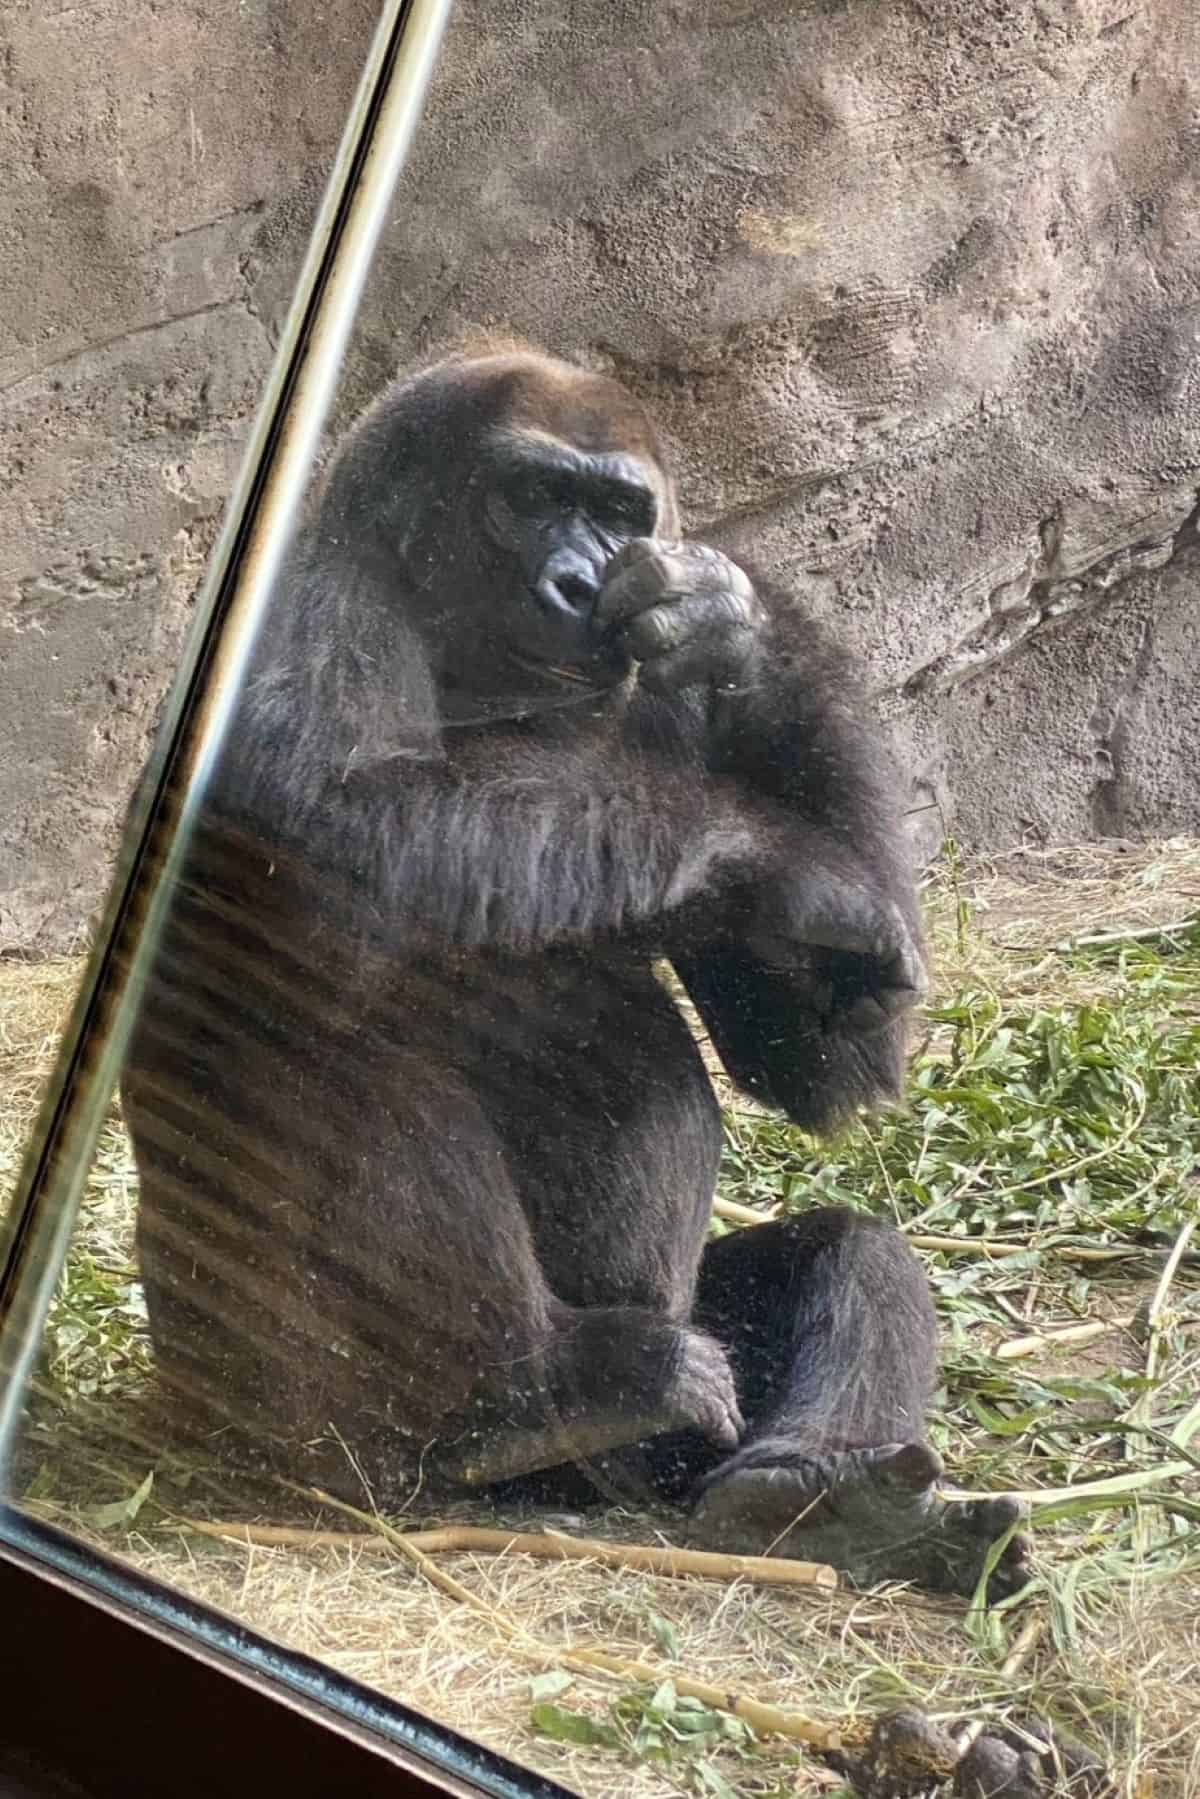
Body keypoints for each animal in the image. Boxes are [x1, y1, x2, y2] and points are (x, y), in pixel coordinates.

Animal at [121, 343, 1030, 1598]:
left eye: (619, 513)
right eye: (534, 495)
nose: (577, 580)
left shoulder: (666, 701)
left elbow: (818, 1057)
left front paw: (738, 623)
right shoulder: (304, 595)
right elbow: (331, 863)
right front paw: (786, 866)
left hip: (658, 1454)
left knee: (853, 1255)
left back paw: (815, 1496)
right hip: (279, 1415)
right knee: (345, 1059)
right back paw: (536, 1393)